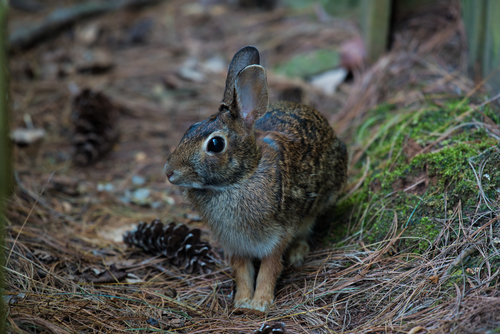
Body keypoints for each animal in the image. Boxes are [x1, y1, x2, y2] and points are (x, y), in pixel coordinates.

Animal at [164, 46, 348, 310]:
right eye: (190, 128)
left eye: (215, 144)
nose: (169, 171)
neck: (240, 179)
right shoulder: (235, 245)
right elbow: (242, 271)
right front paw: (242, 302)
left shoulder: (277, 235)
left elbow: (269, 267)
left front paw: (260, 304)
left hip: (319, 203)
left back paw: (297, 253)